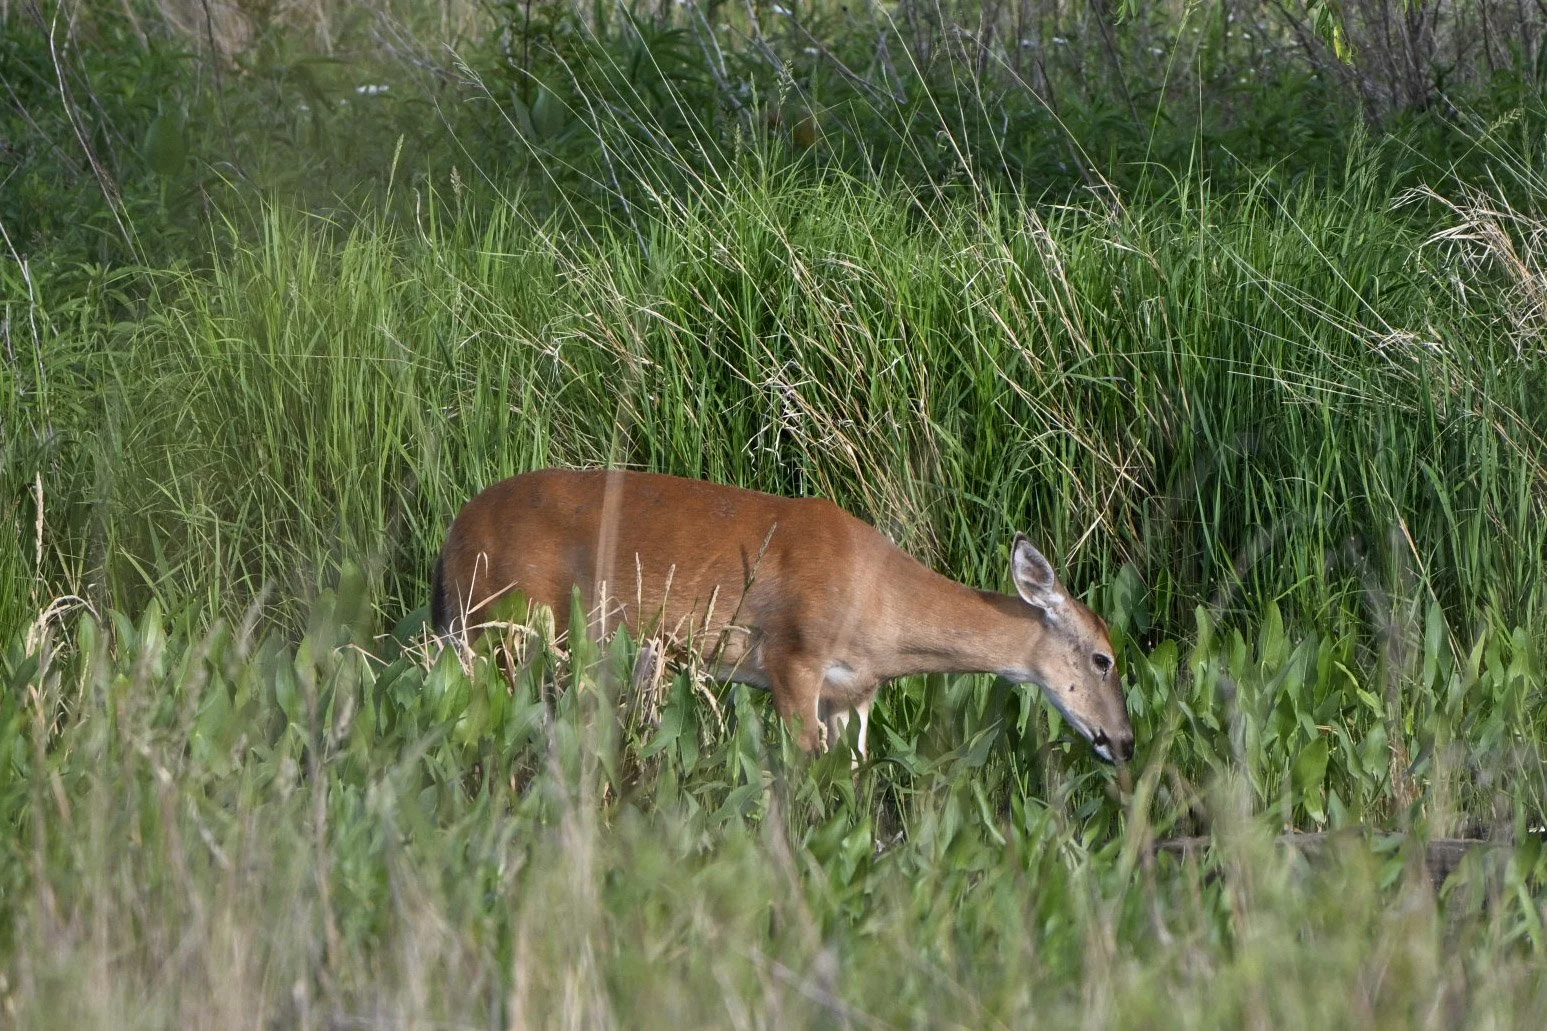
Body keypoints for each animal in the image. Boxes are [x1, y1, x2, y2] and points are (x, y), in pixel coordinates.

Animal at [430, 468, 1135, 764]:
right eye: (1104, 657)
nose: (1124, 742)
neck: (880, 600)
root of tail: (453, 536)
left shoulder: (854, 693)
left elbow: (852, 772)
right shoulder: (793, 656)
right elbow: (800, 765)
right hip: (501, 624)